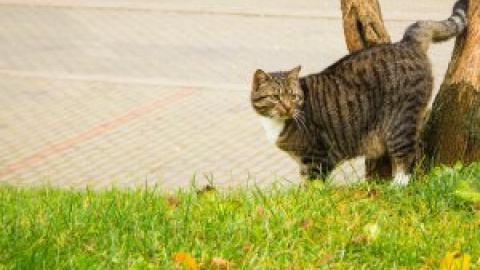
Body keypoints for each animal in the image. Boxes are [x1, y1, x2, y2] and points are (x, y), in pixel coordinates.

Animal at [249, 0, 466, 186]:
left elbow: (312, 186)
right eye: (275, 97)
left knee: (408, 156)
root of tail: (405, 42)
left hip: (399, 123)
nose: (287, 107)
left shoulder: (317, 158)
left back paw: (397, 185)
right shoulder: (306, 163)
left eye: (293, 97)